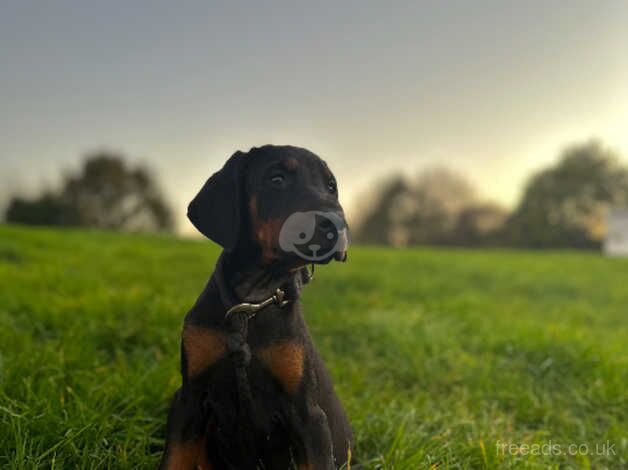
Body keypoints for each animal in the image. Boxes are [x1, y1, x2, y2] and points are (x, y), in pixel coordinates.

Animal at [159, 145, 354, 468]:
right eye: (276, 179)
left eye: (331, 186)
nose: (337, 225)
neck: (252, 302)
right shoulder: (188, 399)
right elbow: (175, 459)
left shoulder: (309, 414)